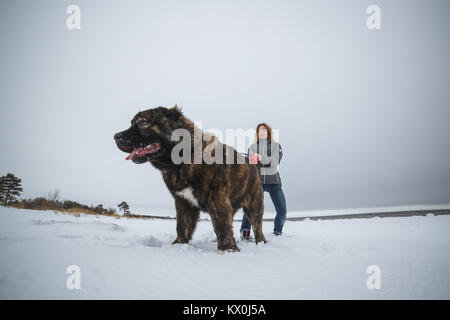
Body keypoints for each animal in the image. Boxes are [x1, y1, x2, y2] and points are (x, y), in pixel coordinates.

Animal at [114, 106, 266, 251]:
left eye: (142, 122)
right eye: (131, 123)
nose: (116, 136)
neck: (185, 158)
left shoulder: (217, 199)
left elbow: (221, 224)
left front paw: (228, 249)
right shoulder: (183, 201)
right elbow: (182, 225)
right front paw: (179, 244)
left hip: (253, 206)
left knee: (257, 227)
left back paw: (261, 243)